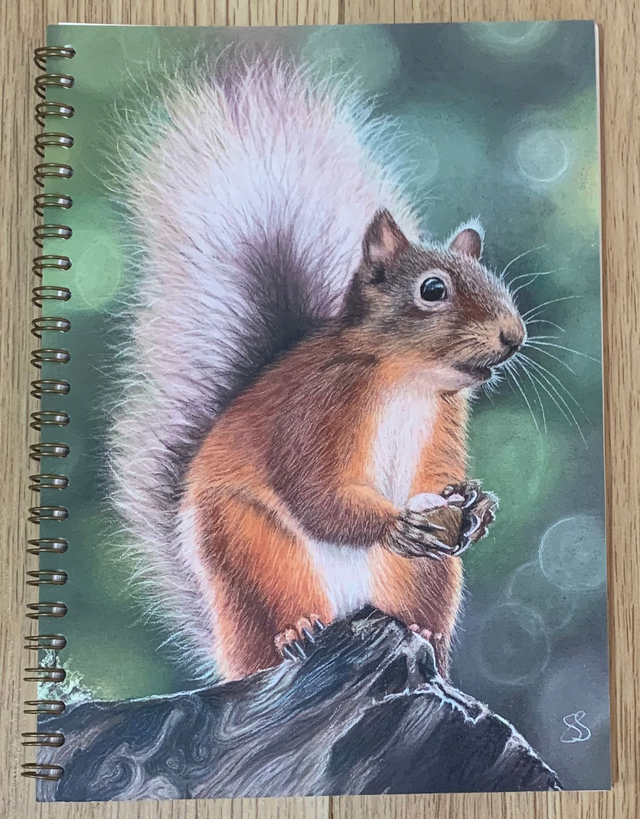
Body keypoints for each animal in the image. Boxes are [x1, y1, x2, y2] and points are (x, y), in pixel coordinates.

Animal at [112, 57, 526, 682]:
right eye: (433, 290)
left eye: (496, 281)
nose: (514, 336)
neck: (407, 379)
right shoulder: (318, 402)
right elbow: (311, 489)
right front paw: (394, 526)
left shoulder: (445, 418)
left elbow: (435, 479)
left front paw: (479, 508)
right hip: (251, 554)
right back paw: (296, 634)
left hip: (423, 575)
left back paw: (427, 638)